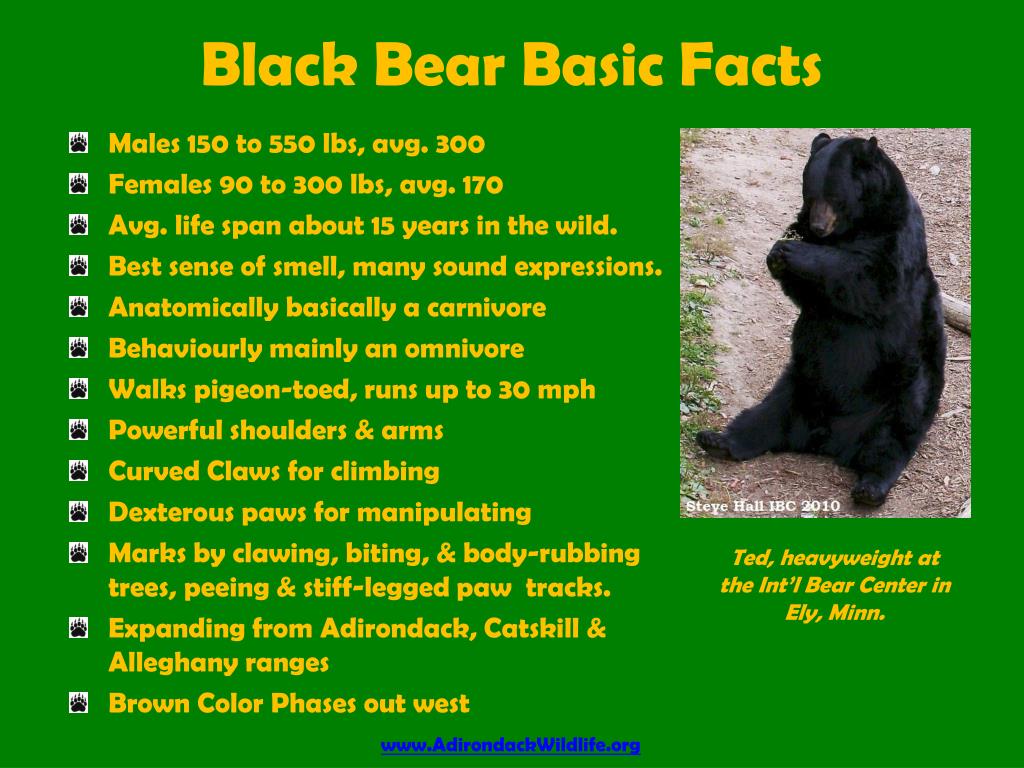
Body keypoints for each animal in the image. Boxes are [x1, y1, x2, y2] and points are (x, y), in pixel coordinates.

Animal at [697, 133, 946, 506]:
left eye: (836, 198)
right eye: (810, 195)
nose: (818, 226)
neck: (856, 226)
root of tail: (827, 439)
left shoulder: (896, 236)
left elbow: (870, 278)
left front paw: (791, 250)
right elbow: (808, 295)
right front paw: (781, 252)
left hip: (904, 388)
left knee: (894, 438)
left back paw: (871, 487)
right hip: (799, 384)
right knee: (765, 416)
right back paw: (718, 440)